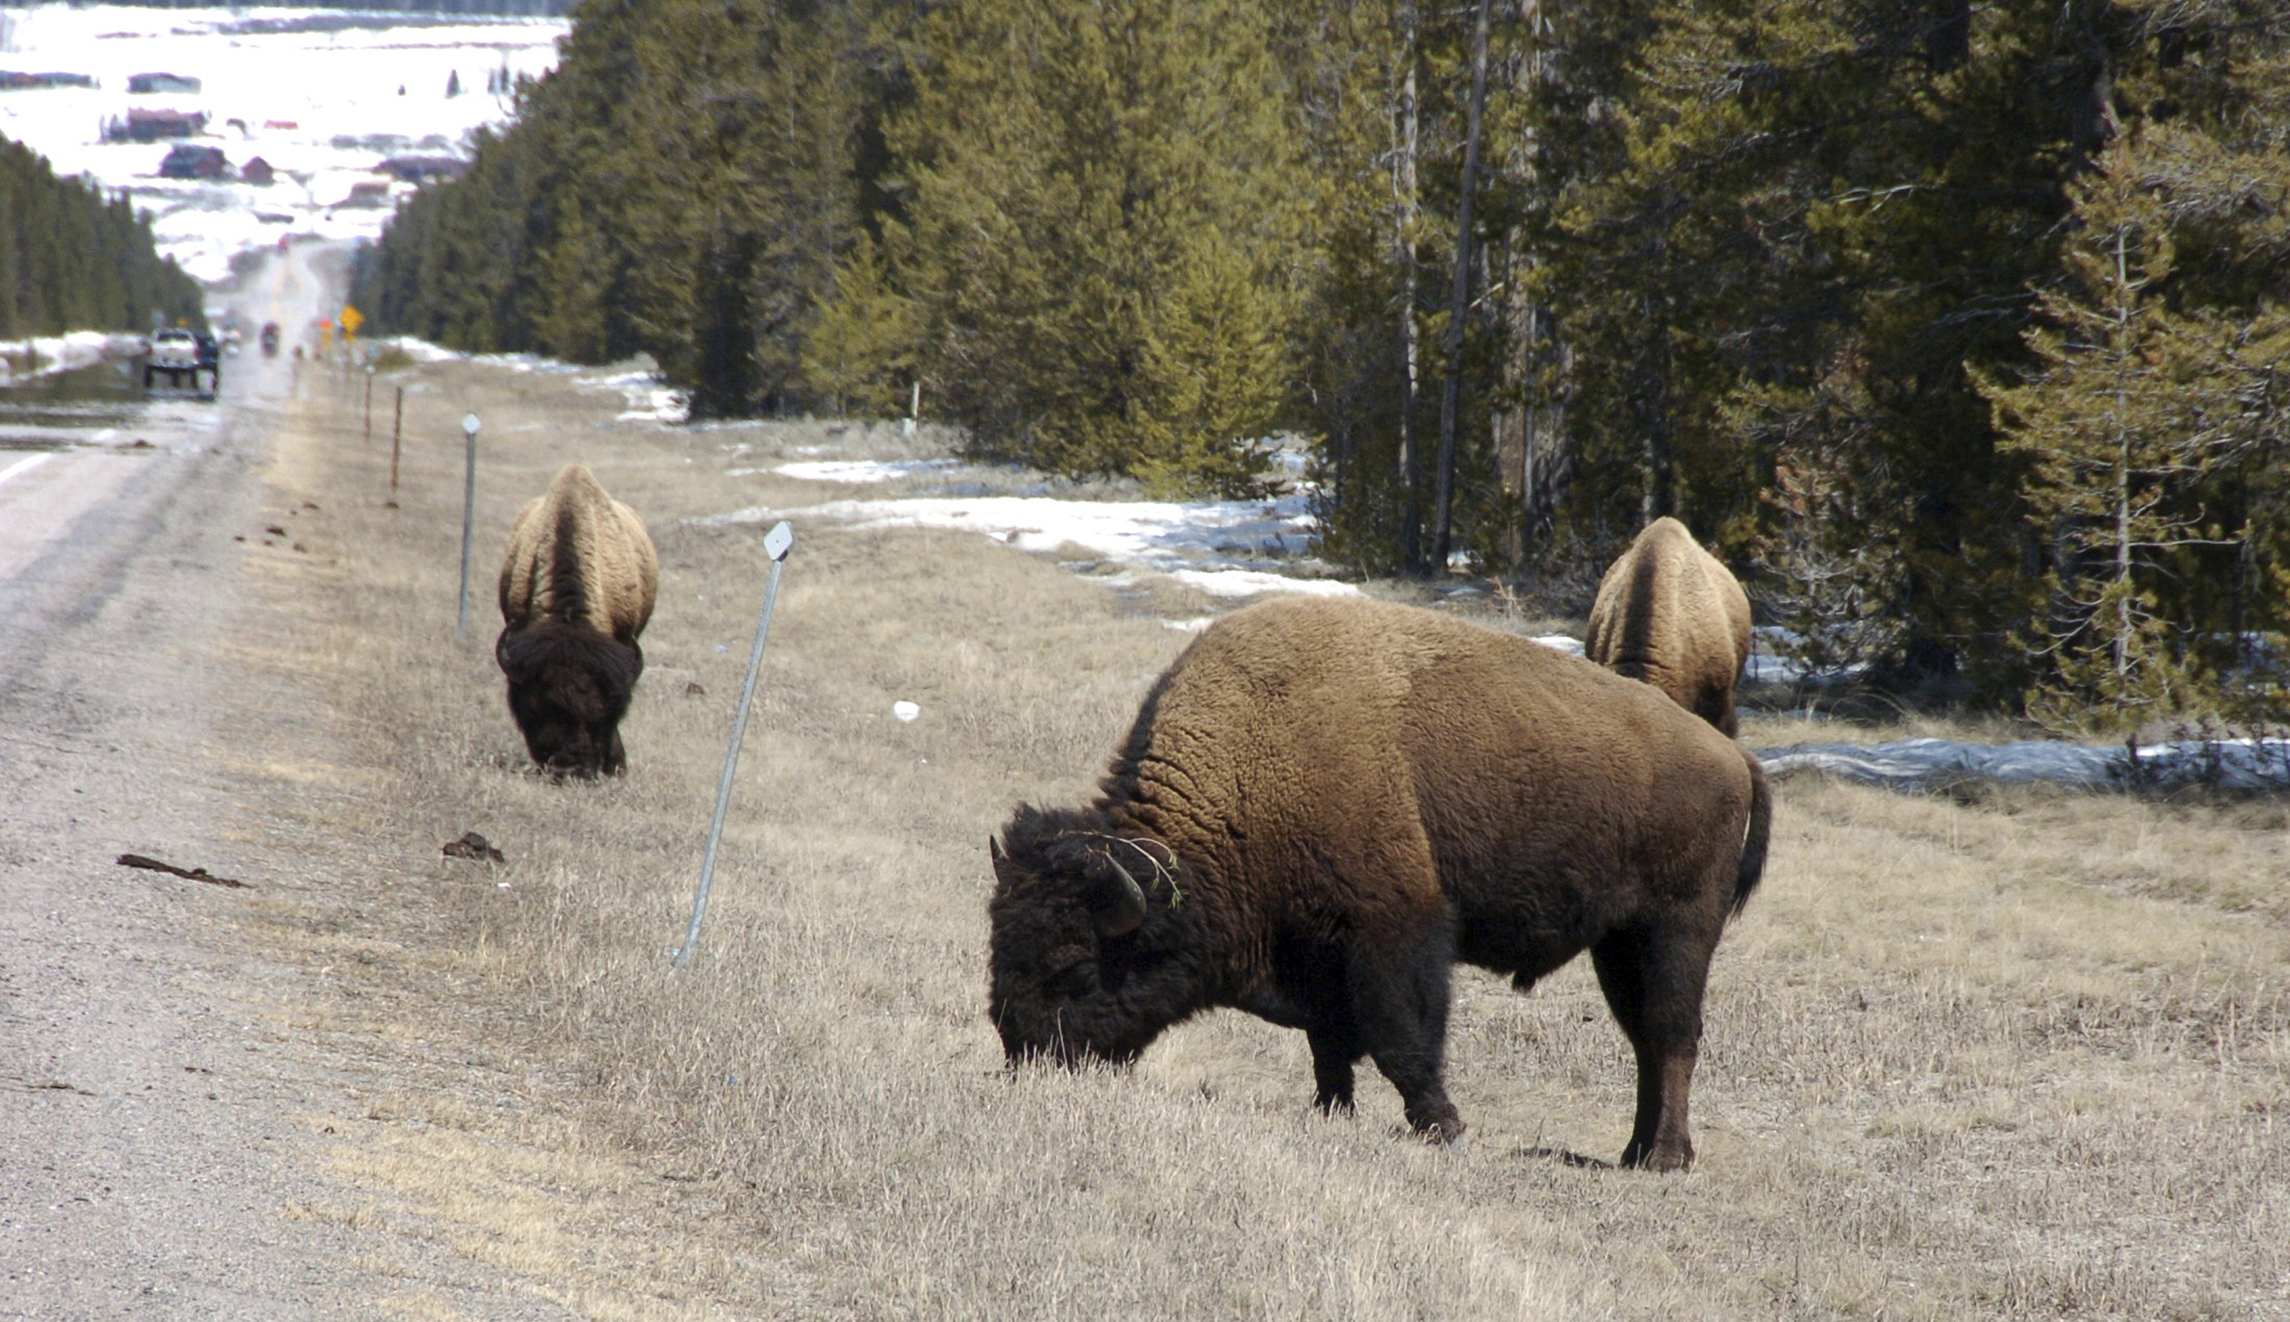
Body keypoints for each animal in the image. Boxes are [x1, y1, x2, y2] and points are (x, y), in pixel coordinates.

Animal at [988, 596, 1771, 1172]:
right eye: (999, 950)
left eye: (1074, 967)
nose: (1022, 1056)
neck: (1250, 774)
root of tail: (1732, 758)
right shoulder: (1316, 957)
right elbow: (1330, 1047)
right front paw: (1330, 1113)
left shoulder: (1394, 932)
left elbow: (1401, 1038)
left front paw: (1444, 1128)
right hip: (1617, 945)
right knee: (1644, 1040)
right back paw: (1636, 1151)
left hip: (1676, 930)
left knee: (1672, 1033)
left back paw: (1665, 1159)